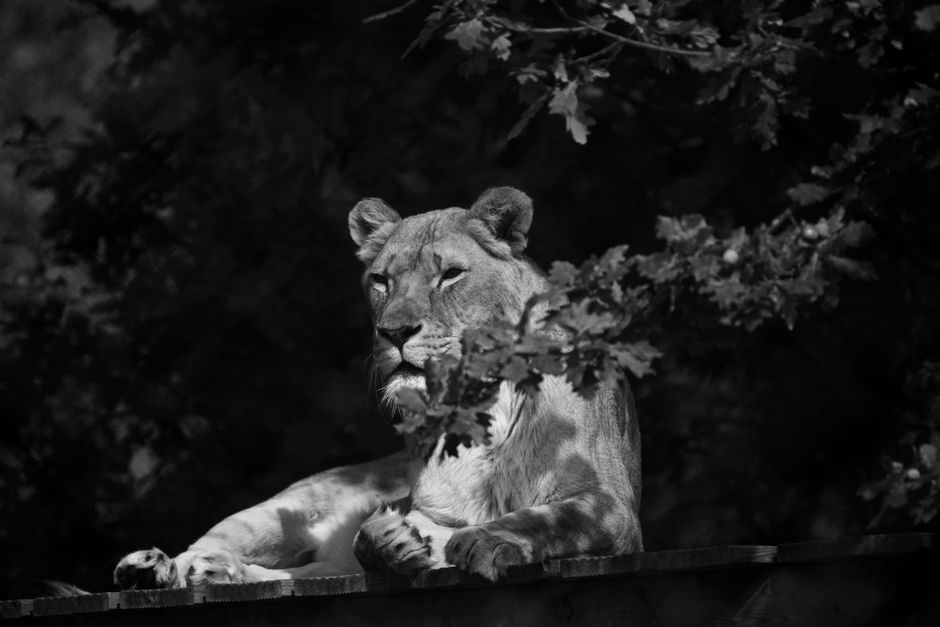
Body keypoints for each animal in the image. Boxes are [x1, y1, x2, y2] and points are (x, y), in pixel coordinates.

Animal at [114, 187, 641, 588]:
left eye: (450, 275)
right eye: (381, 280)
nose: (394, 332)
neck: (479, 403)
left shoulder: (611, 506)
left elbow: (549, 518)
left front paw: (488, 540)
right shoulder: (427, 509)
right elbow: (367, 535)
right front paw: (392, 540)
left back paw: (212, 572)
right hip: (284, 508)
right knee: (211, 544)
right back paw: (159, 566)